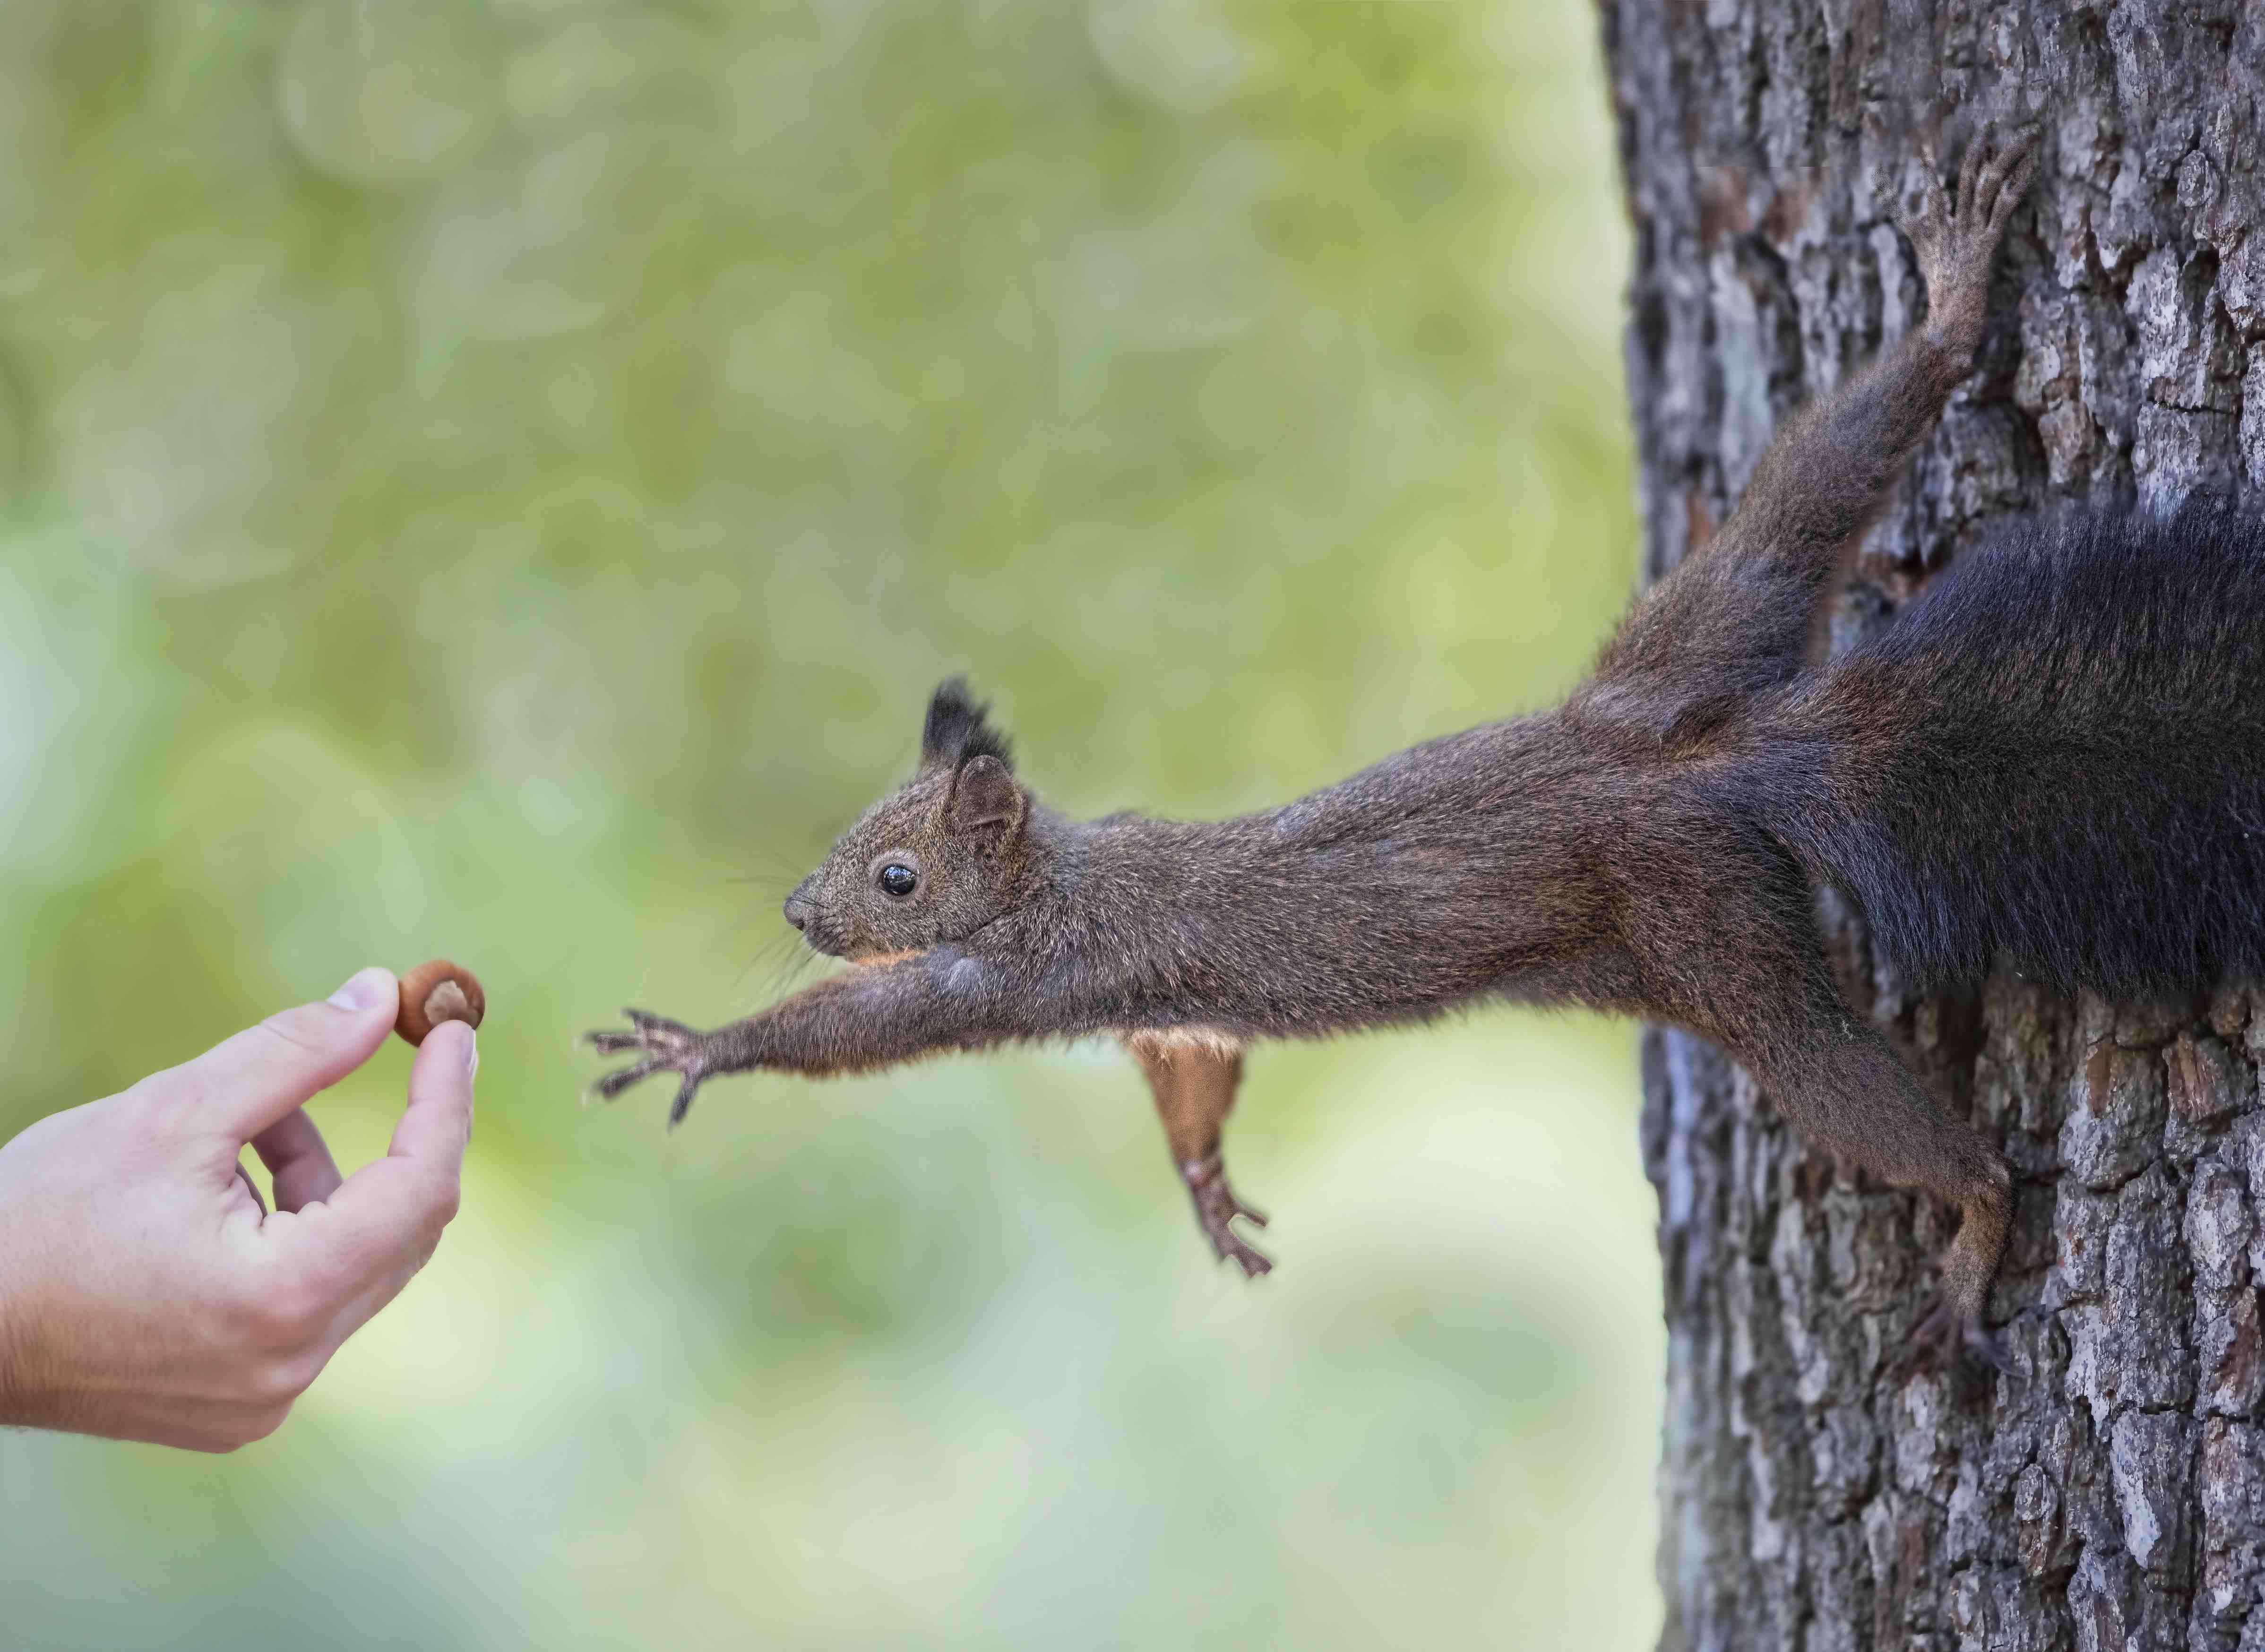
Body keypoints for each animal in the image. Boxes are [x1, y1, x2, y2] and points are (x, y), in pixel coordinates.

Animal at [589, 126, 2265, 1368]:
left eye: (892, 876)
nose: (795, 912)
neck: (1052, 870)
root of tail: (1704, 763)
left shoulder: (1023, 973)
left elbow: (870, 1030)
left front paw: (705, 1044)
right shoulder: (1160, 1011)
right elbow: (1190, 1061)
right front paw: (1204, 1184)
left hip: (1702, 930)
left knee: (1851, 1090)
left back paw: (1973, 1221)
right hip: (1708, 624)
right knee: (1811, 488)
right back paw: (1947, 309)